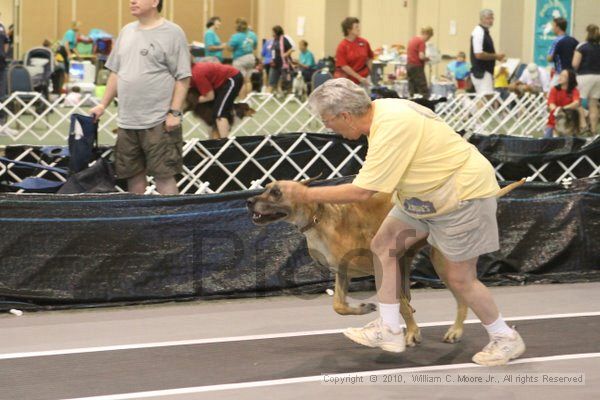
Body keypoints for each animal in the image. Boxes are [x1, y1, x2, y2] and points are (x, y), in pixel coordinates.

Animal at [248, 177, 524, 346]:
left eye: (276, 192)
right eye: (266, 187)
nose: (249, 201)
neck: (319, 219)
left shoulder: (385, 264)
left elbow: (400, 304)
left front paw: (411, 332)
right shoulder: (342, 271)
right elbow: (338, 305)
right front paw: (363, 308)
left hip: (442, 263)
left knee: (461, 297)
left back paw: (455, 330)